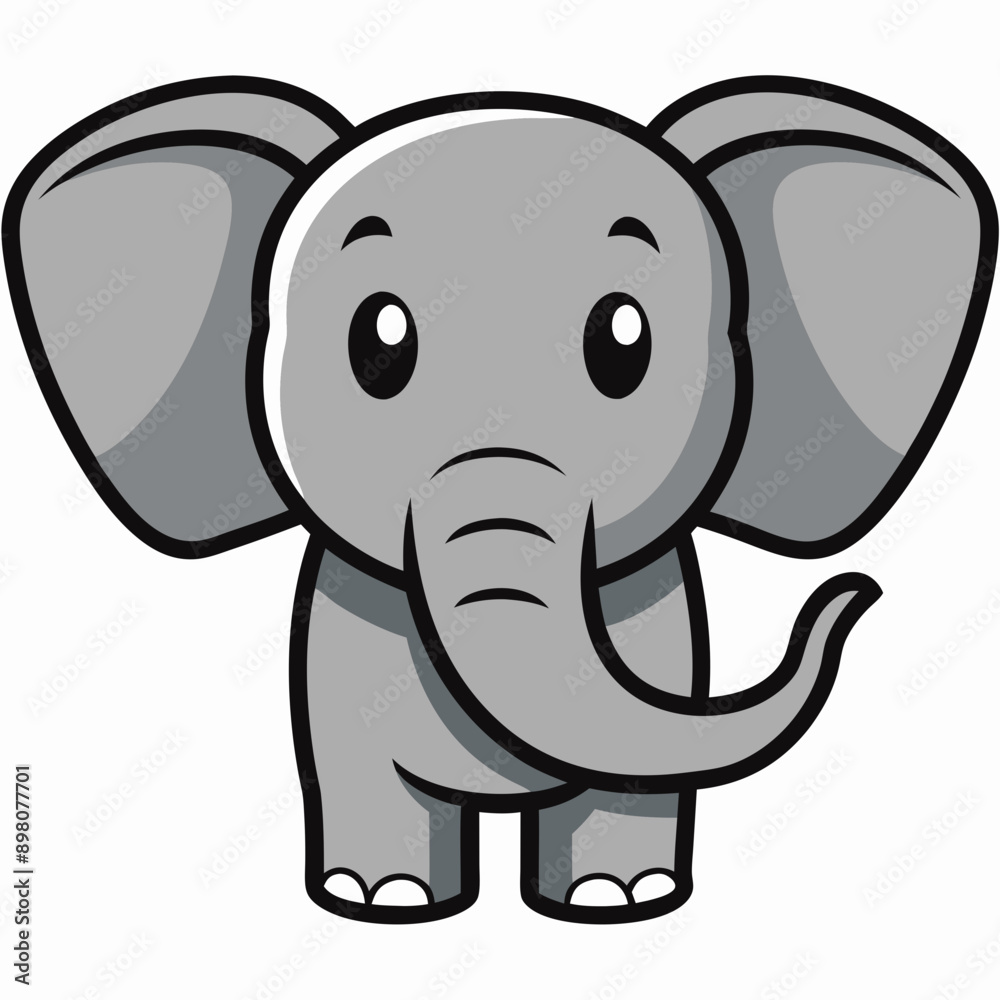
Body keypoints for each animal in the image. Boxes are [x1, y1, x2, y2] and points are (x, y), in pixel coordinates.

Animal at [4, 74, 996, 925]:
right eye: (378, 344)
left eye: (623, 342)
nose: (855, 592)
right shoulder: (338, 646)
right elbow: (349, 756)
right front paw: (381, 900)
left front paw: (618, 900)